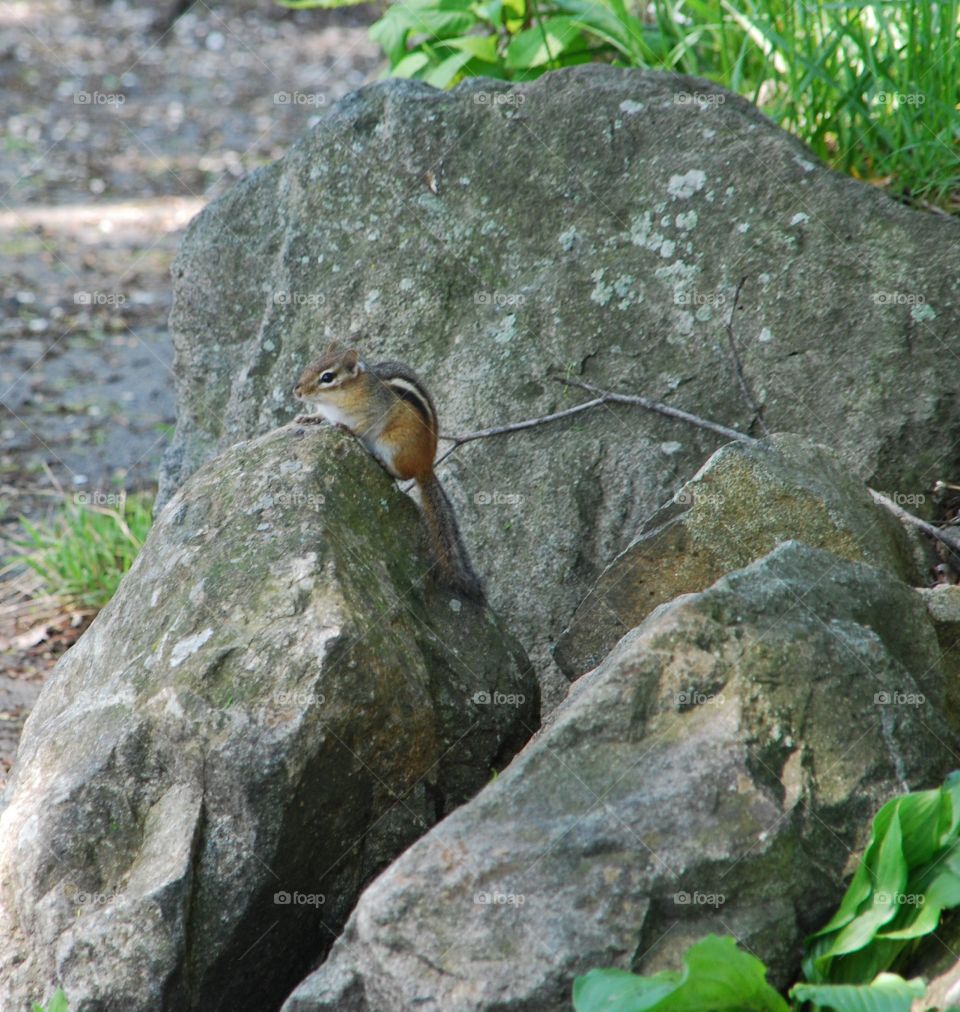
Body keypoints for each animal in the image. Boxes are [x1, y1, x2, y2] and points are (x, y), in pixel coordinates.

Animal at [293, 345, 486, 603]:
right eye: (309, 365)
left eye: (327, 377)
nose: (297, 391)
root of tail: (426, 466)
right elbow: (322, 416)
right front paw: (310, 417)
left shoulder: (376, 411)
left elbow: (362, 425)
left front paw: (345, 427)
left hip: (392, 444)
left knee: (401, 475)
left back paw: (382, 463)